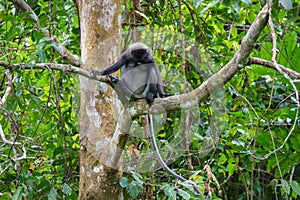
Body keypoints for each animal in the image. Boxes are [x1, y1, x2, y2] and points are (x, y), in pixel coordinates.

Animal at [99, 43, 200, 195]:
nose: (140, 58)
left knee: (151, 71)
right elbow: (116, 65)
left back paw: (152, 96)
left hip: (145, 89)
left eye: (142, 54)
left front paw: (162, 94)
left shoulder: (149, 58)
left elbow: (155, 69)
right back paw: (123, 87)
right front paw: (99, 72)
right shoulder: (126, 56)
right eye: (136, 54)